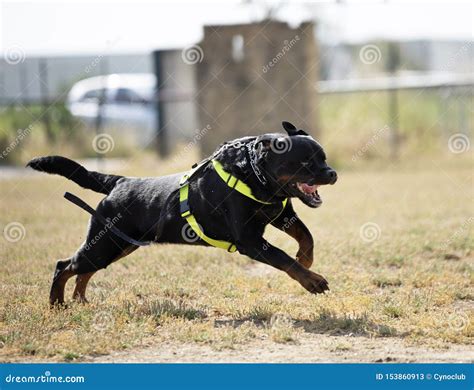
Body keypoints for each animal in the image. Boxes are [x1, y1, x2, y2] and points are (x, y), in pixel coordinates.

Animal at [27, 121, 336, 304]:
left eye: (324, 158)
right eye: (305, 162)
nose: (332, 173)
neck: (256, 177)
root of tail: (120, 182)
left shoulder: (280, 215)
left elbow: (306, 236)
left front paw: (306, 259)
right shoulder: (249, 240)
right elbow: (282, 258)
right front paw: (312, 280)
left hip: (118, 245)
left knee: (83, 271)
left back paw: (79, 300)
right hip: (106, 244)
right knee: (64, 266)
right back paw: (57, 304)